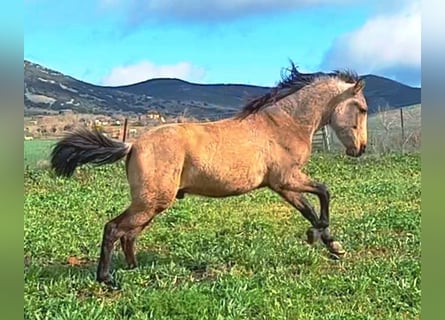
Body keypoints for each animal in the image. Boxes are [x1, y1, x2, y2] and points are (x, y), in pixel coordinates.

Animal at [50, 62, 366, 288]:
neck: (282, 125)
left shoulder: (282, 185)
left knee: (129, 234)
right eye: (361, 108)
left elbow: (310, 208)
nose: (360, 149)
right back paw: (108, 280)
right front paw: (321, 237)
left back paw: (134, 269)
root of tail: (133, 145)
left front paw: (331, 244)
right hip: (151, 202)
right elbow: (324, 192)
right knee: (114, 228)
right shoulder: (287, 178)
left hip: (152, 204)